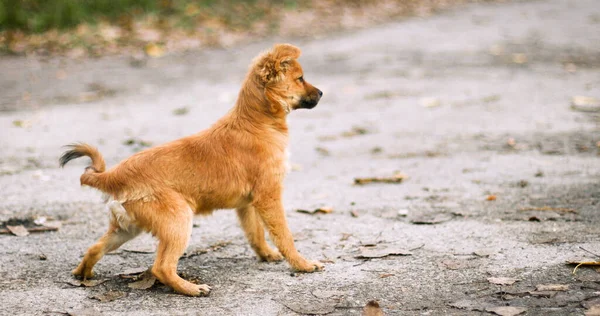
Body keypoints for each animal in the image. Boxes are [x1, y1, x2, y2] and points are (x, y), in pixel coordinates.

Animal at [59, 43, 324, 296]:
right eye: (300, 78)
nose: (321, 92)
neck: (256, 122)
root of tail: (114, 175)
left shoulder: (248, 204)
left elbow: (256, 234)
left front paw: (267, 255)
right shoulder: (269, 197)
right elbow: (284, 236)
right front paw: (303, 264)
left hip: (126, 228)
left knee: (95, 248)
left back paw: (82, 274)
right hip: (178, 221)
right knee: (162, 267)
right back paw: (191, 289)